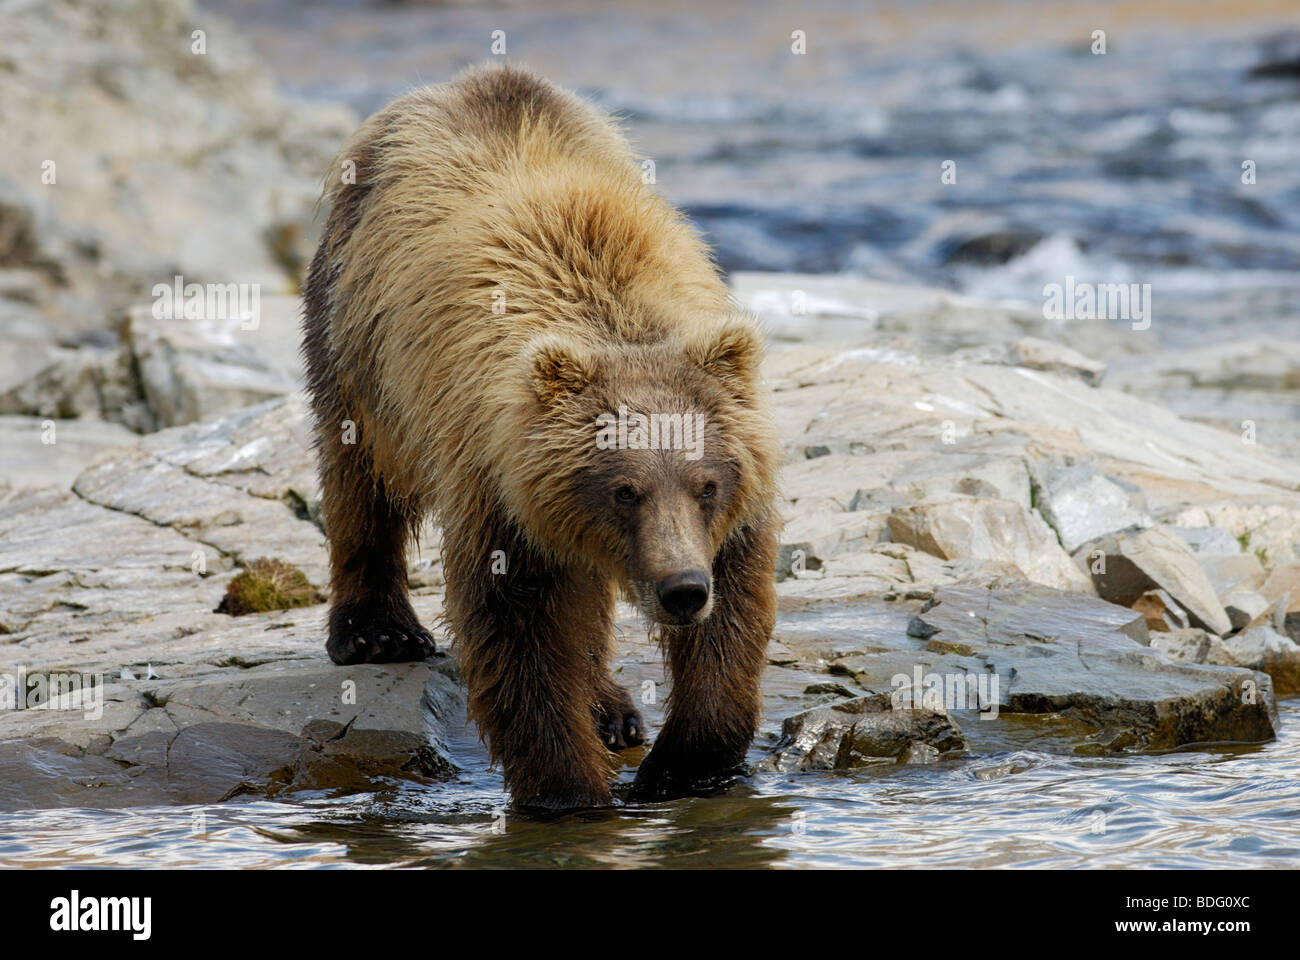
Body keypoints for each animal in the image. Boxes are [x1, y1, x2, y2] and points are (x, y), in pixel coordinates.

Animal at [299, 63, 774, 806]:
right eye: (625, 489)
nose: (681, 590)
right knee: (359, 476)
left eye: (706, 484)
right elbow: (519, 635)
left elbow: (731, 622)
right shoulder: (497, 492)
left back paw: (611, 708)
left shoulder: (727, 513)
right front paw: (571, 788)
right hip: (358, 341)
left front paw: (679, 766)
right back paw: (378, 632)